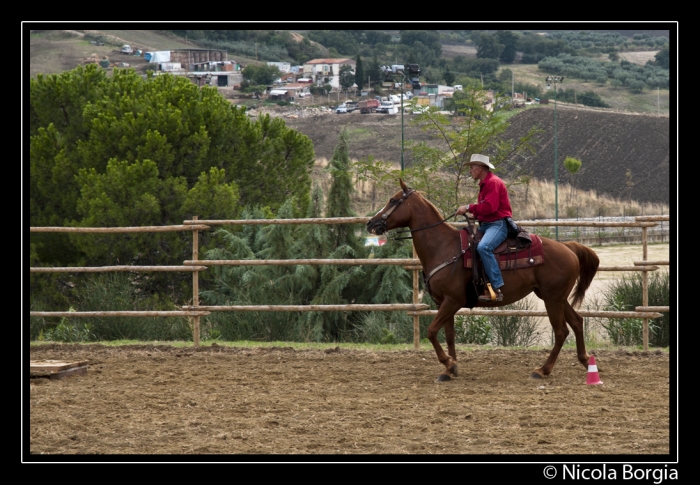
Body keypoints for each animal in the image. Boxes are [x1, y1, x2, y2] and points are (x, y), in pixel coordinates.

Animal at [364, 180, 600, 380]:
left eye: (392, 200)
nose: (370, 223)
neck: (443, 246)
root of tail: (568, 247)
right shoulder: (443, 303)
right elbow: (449, 335)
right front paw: (450, 369)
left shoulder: (453, 301)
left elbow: (431, 331)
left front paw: (448, 363)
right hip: (555, 297)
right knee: (577, 322)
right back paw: (585, 360)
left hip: (552, 299)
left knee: (561, 332)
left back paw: (542, 370)